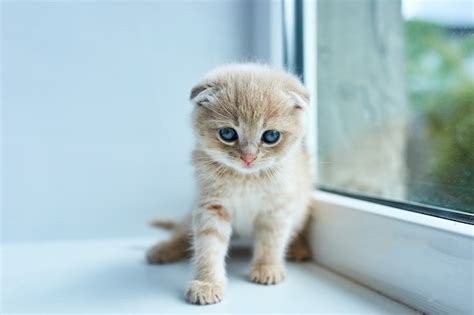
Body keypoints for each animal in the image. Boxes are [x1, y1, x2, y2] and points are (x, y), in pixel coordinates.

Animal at [146, 64, 312, 306]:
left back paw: (299, 247)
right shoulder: (211, 206)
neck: (245, 178)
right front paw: (207, 283)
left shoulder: (277, 208)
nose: (248, 158)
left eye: (271, 136)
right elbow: (208, 246)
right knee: (182, 232)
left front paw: (267, 267)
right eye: (227, 133)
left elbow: (272, 240)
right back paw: (163, 250)